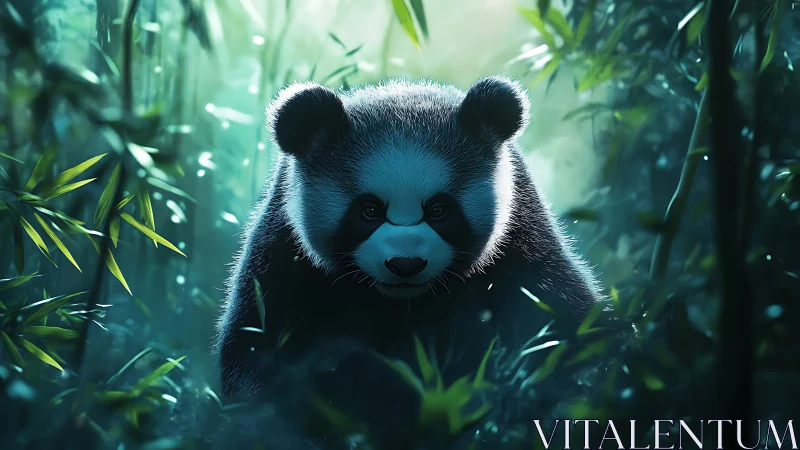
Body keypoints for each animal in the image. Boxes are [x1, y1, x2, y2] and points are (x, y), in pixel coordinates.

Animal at [215, 75, 604, 448]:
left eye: (439, 210)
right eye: (369, 211)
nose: (405, 264)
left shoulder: (520, 238)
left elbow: (564, 324)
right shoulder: (284, 251)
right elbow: (258, 347)